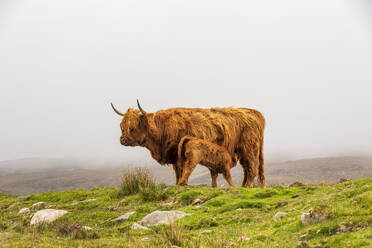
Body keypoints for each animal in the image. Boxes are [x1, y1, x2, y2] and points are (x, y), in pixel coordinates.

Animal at [112, 100, 266, 187]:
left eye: (132, 128)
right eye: (121, 126)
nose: (122, 140)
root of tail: (254, 112)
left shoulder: (177, 153)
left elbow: (181, 170)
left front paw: (181, 184)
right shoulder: (174, 155)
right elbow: (177, 172)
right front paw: (177, 184)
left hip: (250, 147)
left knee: (252, 167)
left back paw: (248, 186)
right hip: (242, 150)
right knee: (247, 168)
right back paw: (243, 186)